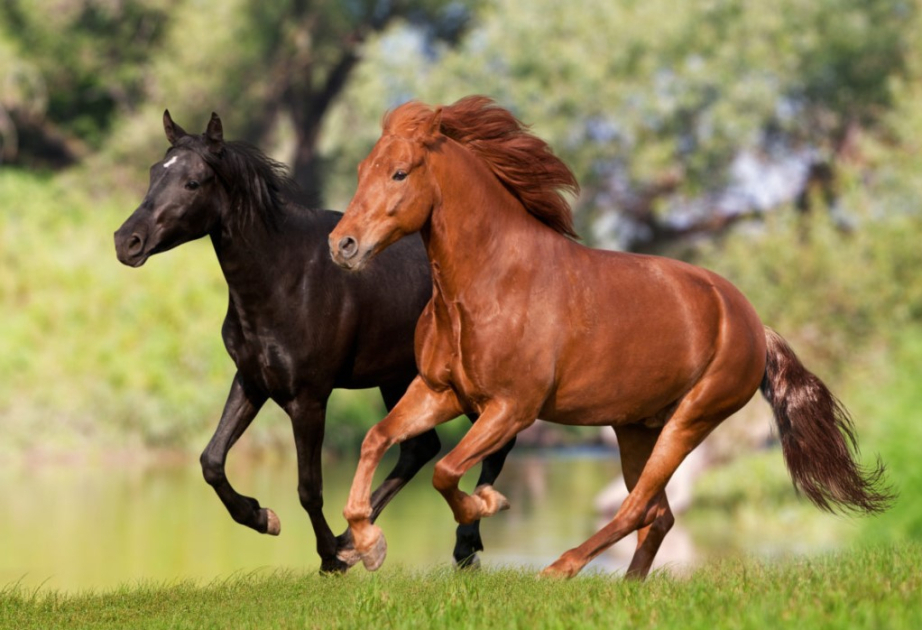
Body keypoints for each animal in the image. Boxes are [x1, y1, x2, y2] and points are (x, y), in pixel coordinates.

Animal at [113, 110, 515, 572]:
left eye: (192, 182)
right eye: (153, 172)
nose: (127, 241)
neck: (285, 278)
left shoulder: (308, 398)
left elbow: (309, 487)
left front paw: (329, 558)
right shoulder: (252, 381)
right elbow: (211, 461)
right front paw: (264, 517)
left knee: (494, 443)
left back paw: (461, 543)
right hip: (398, 379)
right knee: (421, 448)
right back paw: (359, 541)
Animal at [327, 95, 892, 578]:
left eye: (399, 172)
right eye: (360, 171)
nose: (342, 245)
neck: (489, 284)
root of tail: (753, 321)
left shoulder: (512, 407)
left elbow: (445, 471)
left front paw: (487, 503)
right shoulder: (440, 392)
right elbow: (376, 439)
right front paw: (366, 545)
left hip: (690, 420)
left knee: (637, 506)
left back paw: (559, 570)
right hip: (636, 427)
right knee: (658, 514)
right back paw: (627, 585)